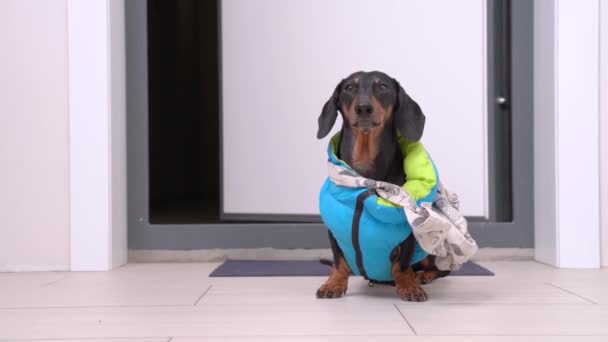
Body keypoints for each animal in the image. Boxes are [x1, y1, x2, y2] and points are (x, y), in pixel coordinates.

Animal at [316, 71, 448, 300]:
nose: (363, 108)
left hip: (429, 247)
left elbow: (402, 264)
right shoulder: (334, 229)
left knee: (438, 269)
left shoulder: (409, 230)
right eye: (349, 87)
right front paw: (333, 283)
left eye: (383, 86)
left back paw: (423, 276)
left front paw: (408, 285)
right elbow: (339, 261)